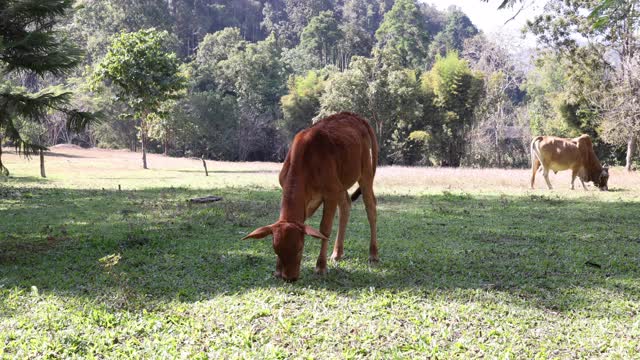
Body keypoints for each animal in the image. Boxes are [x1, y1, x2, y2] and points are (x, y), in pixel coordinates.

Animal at [242, 112, 378, 282]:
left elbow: (324, 230)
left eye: (300, 248)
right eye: (276, 250)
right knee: (346, 206)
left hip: (365, 173)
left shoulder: (330, 193)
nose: (290, 278)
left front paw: (321, 266)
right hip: (341, 185)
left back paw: (373, 254)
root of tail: (356, 117)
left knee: (371, 208)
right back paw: (337, 253)